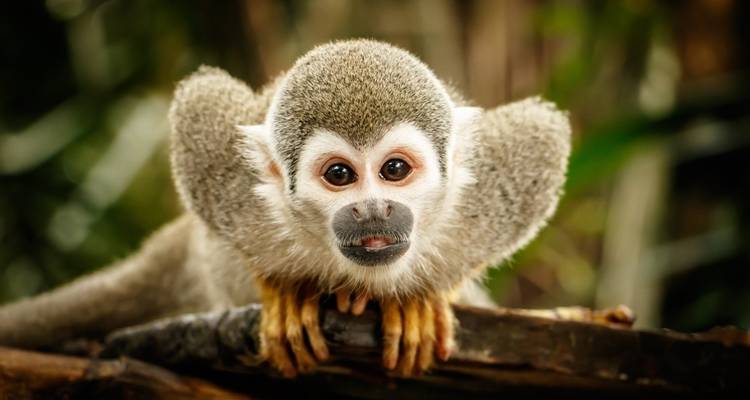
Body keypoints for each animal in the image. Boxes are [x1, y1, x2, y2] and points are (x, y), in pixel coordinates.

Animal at [0, 39, 570, 378]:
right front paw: (284, 290)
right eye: (339, 176)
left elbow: (543, 134)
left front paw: (421, 299)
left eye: (394, 170)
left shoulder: (490, 192)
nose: (373, 211)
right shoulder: (231, 188)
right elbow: (201, 102)